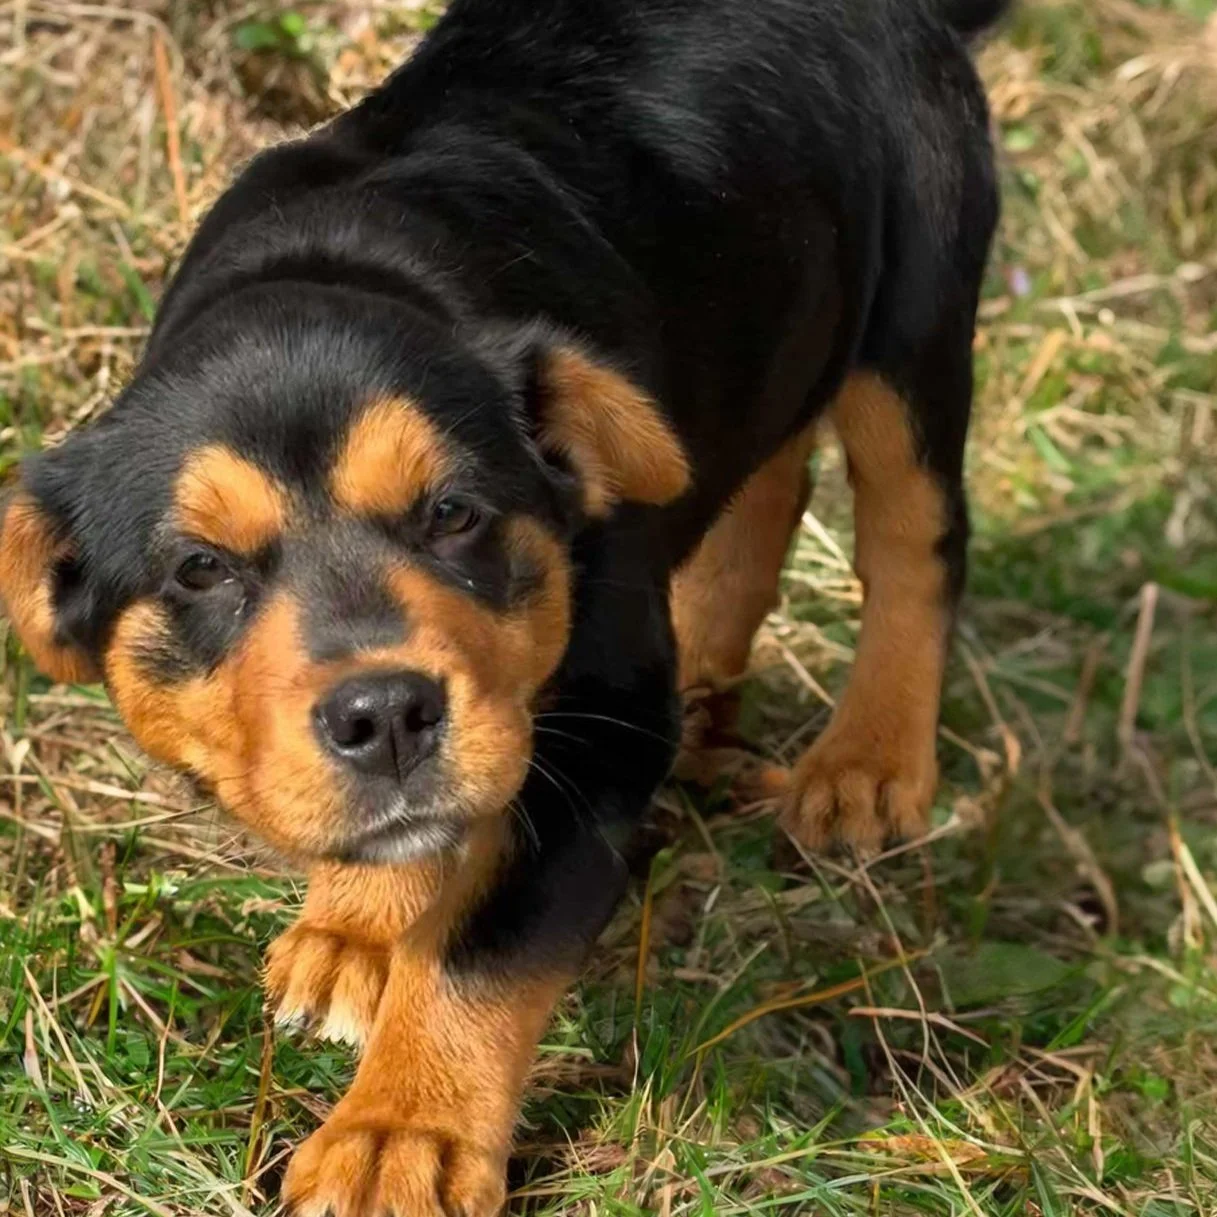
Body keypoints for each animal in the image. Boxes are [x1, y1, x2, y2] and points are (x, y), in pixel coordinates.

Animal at [0, 0, 1006, 1211]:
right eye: (199, 569)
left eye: (453, 513)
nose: (386, 714)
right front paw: (355, 928)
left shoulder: (604, 731)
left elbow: (486, 945)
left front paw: (398, 1135)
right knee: (764, 482)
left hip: (914, 313)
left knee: (912, 532)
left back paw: (867, 764)